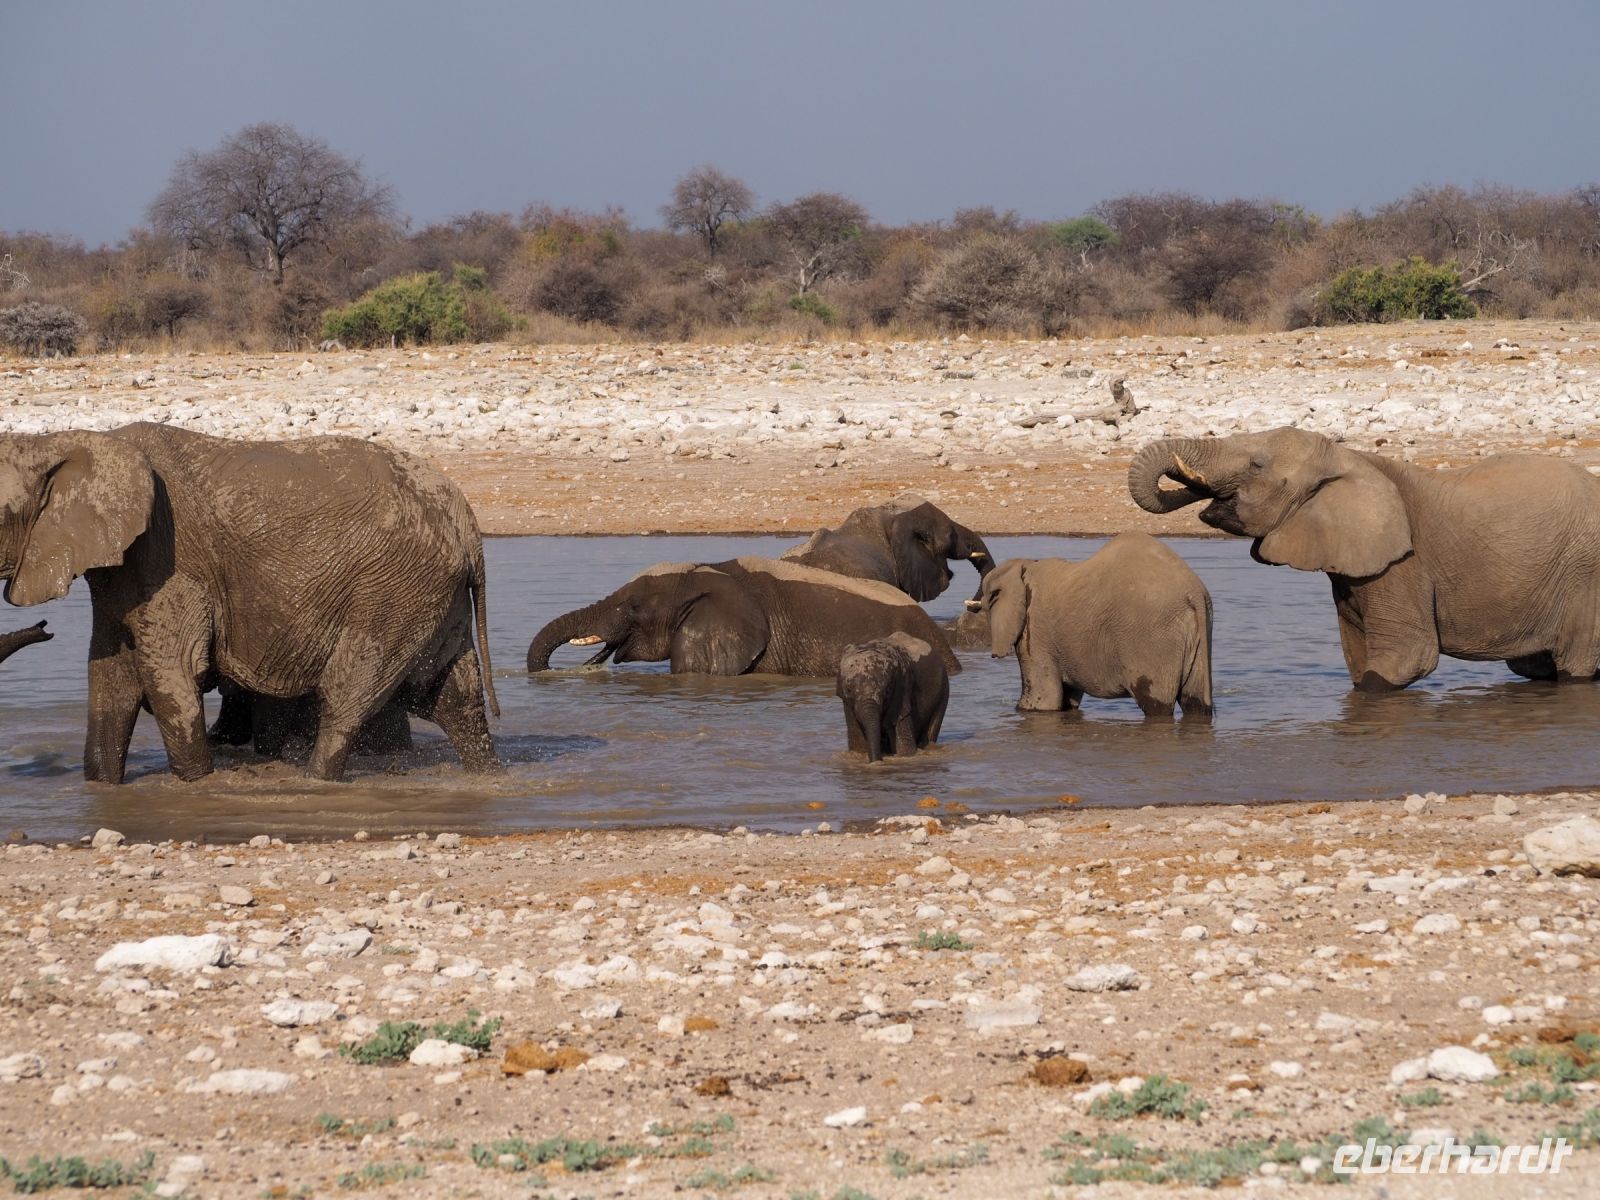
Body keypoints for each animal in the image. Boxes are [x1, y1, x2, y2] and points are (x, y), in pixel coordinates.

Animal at [0, 423, 500, 783]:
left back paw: (314, 783)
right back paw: (489, 778)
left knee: (348, 699)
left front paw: (199, 786)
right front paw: (101, 788)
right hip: (430, 591)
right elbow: (110, 679)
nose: (44, 627)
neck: (64, 442)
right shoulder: (120, 569)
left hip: (393, 589)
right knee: (456, 701)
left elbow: (172, 675)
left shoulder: (167, 561)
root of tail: (467, 521)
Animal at [836, 632, 949, 762]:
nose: (878, 760)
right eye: (848, 690)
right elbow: (858, 744)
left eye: (886, 691)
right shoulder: (847, 704)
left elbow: (904, 748)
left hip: (943, 690)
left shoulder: (901, 688)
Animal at [980, 535, 1213, 717]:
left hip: (1153, 640)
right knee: (1196, 704)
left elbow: (1042, 701)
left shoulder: (1035, 632)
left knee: (1156, 707)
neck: (1027, 565)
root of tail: (1193, 590)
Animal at [1128, 427, 1600, 691]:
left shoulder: (1403, 562)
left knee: (1574, 664)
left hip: (1585, 572)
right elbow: (1357, 658)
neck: (1348, 456)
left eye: (1257, 464)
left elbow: (1408, 658)